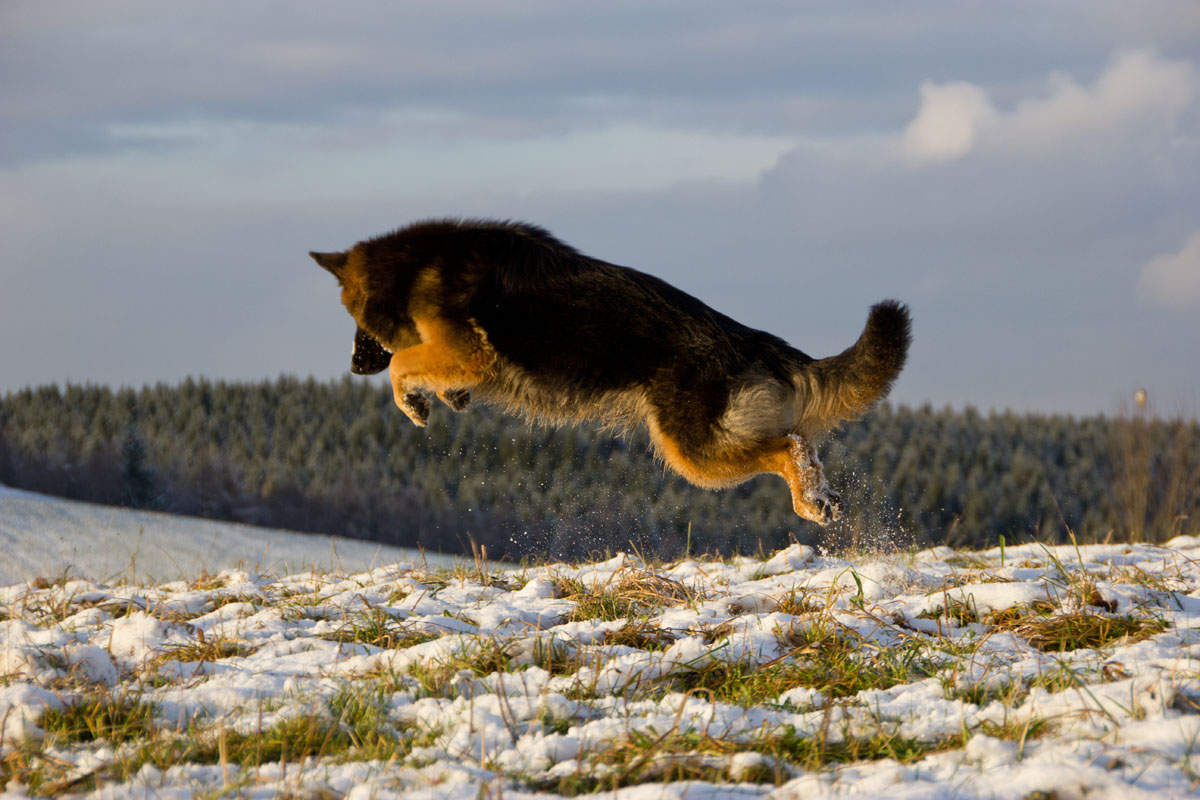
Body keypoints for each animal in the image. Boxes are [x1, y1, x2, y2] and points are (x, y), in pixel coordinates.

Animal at [309, 217, 907, 525]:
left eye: (355, 320)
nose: (355, 366)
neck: (416, 267)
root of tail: (752, 338)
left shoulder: (466, 348)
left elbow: (402, 364)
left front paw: (412, 401)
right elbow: (422, 366)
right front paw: (444, 397)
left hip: (693, 452)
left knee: (789, 445)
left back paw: (809, 501)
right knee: (800, 442)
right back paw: (821, 497)